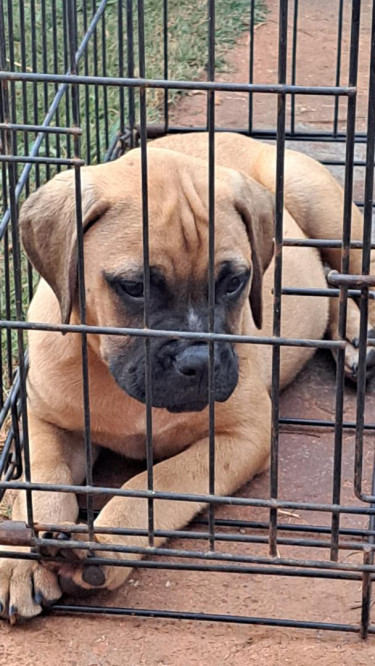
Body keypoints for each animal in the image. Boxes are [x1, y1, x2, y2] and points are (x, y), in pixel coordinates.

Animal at [0, 132, 375, 620]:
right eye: (134, 288)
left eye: (234, 282)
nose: (201, 361)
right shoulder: (42, 419)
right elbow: (40, 480)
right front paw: (20, 559)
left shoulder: (242, 437)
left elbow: (152, 486)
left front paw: (103, 547)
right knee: (333, 285)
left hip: (321, 204)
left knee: (356, 274)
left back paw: (361, 341)